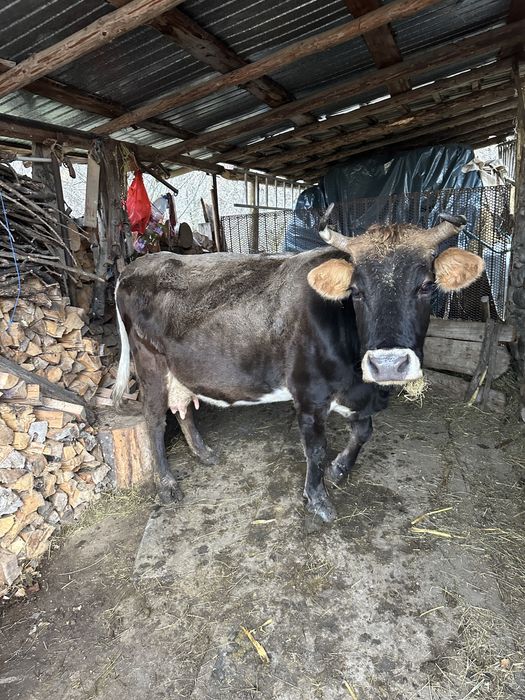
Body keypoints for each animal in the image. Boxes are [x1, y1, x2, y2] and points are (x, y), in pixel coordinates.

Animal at [112, 210, 484, 523]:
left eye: (426, 286)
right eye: (356, 291)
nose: (388, 364)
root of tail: (137, 265)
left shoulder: (357, 393)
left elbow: (364, 432)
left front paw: (340, 470)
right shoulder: (308, 394)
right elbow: (315, 450)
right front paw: (318, 499)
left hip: (180, 369)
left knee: (184, 406)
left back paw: (204, 454)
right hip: (149, 364)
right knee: (155, 420)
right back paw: (167, 485)